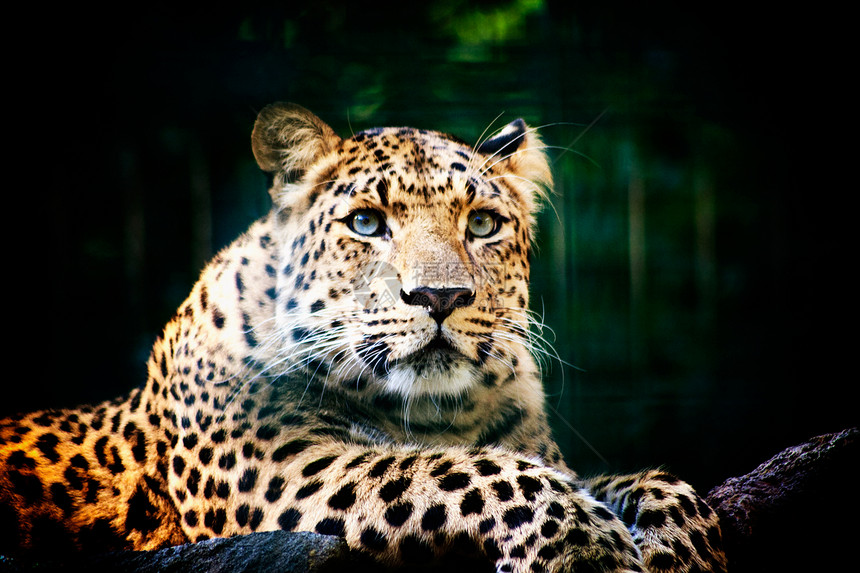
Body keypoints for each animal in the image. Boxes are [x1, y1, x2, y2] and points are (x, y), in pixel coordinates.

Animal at [0, 104, 724, 572]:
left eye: (483, 223)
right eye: (367, 223)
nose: (440, 297)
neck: (435, 410)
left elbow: (652, 480)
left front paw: (682, 547)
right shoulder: (282, 468)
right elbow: (452, 468)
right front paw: (585, 543)